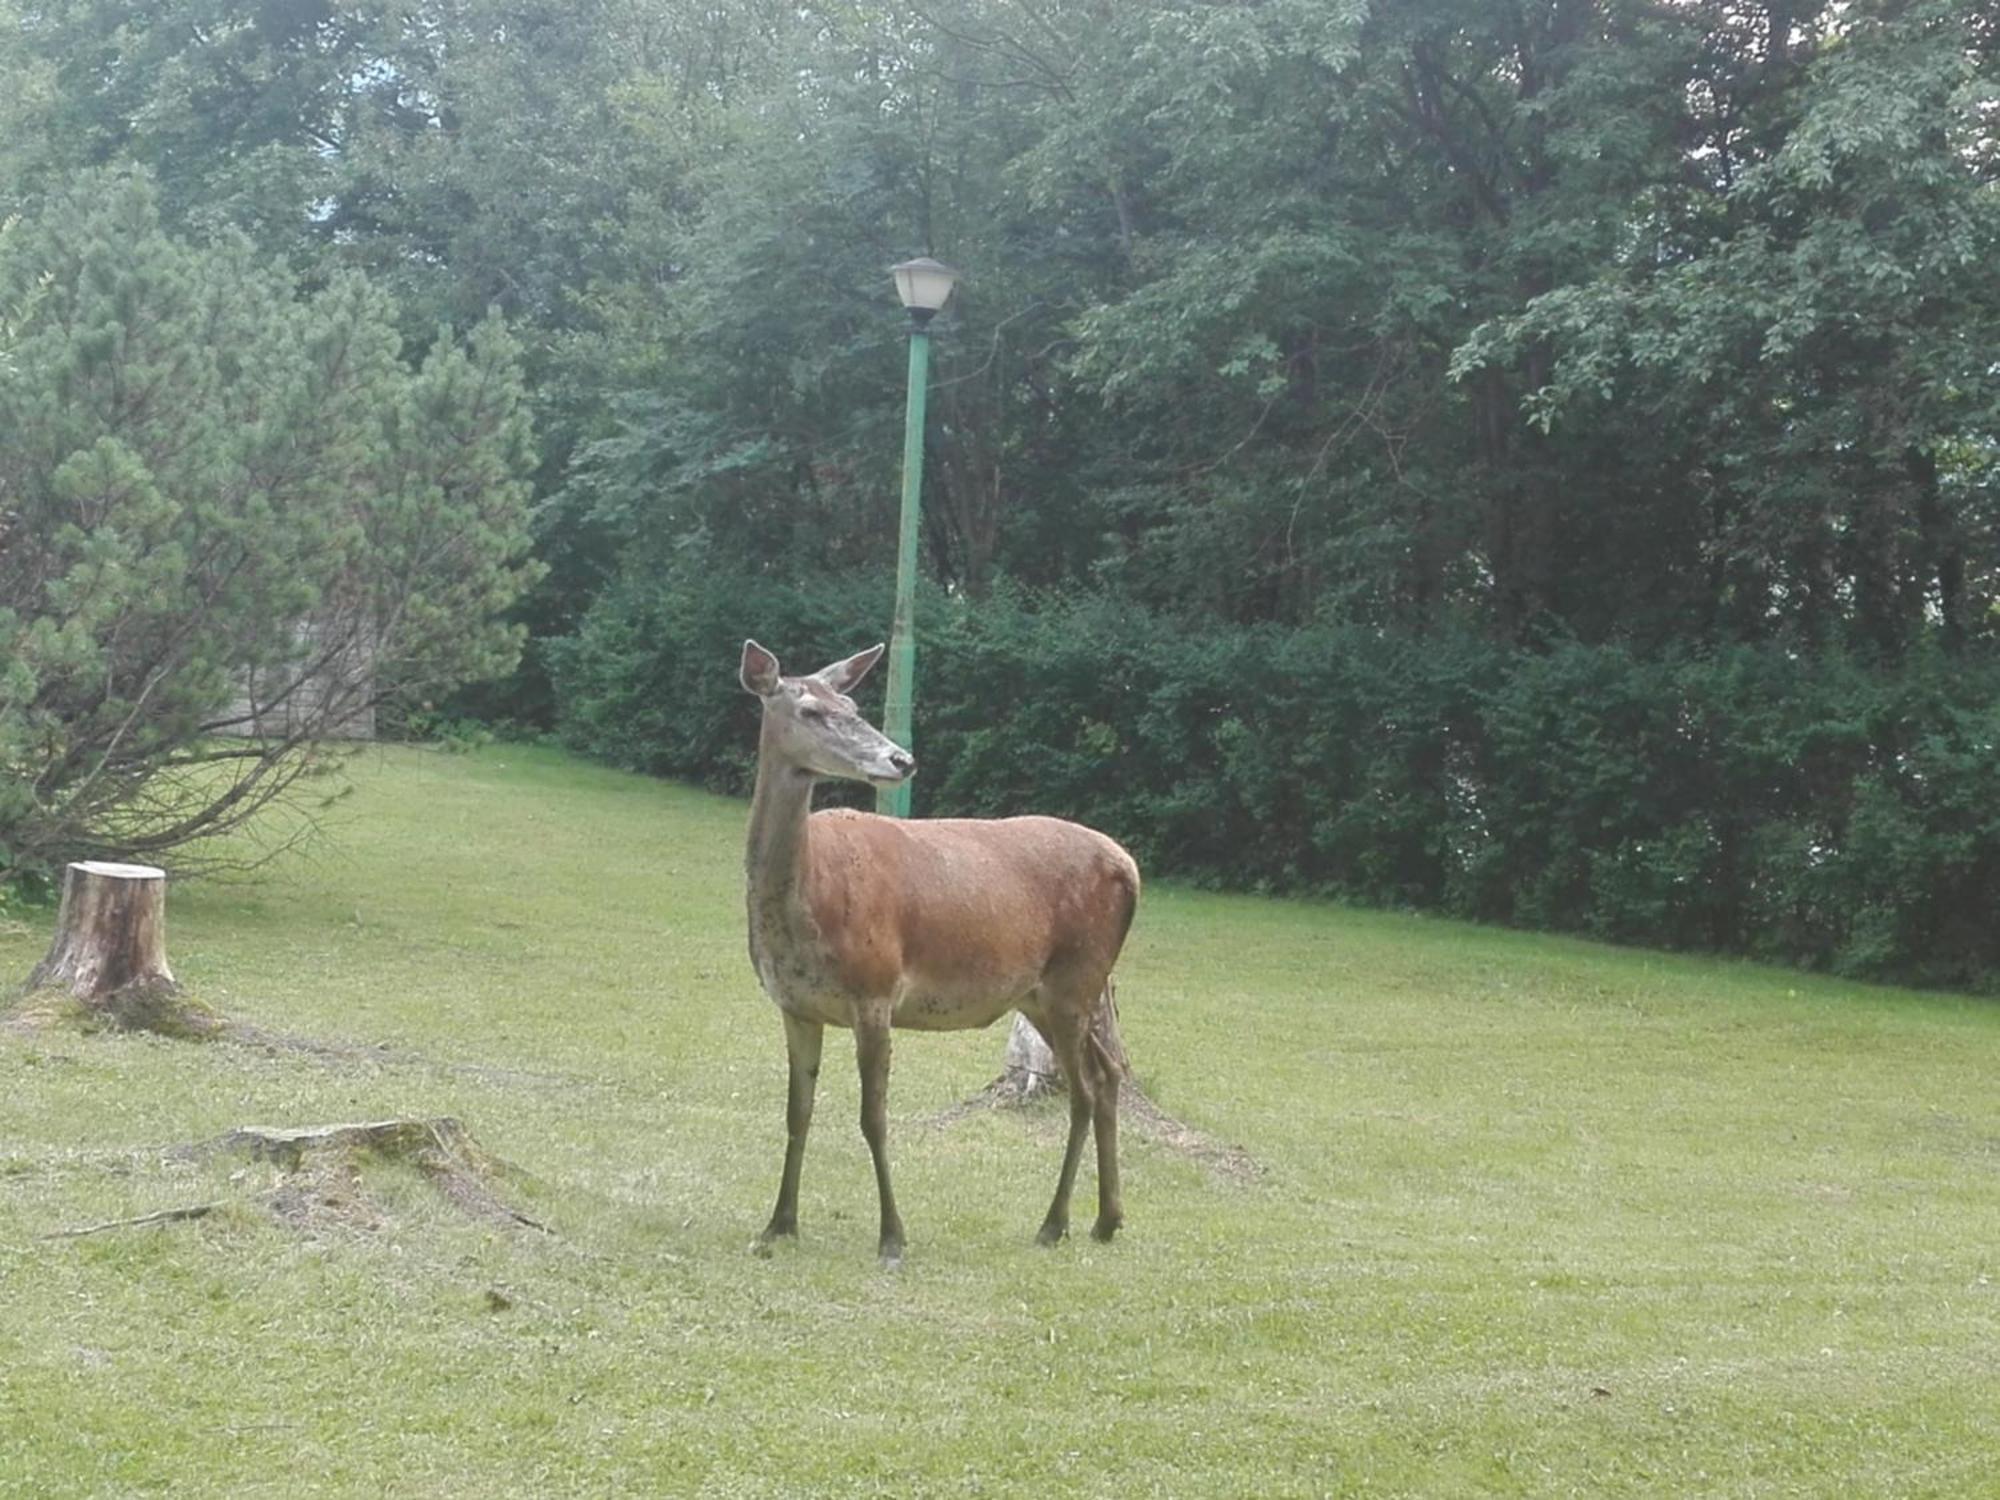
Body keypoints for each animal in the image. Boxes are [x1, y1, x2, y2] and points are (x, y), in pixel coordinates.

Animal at [740, 640, 1152, 1264]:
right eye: (810, 709)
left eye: (854, 703)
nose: (900, 760)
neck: (802, 907)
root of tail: (1130, 867)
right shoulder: (794, 1004)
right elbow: (797, 1111)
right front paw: (778, 1223)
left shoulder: (875, 990)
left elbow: (873, 1117)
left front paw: (892, 1237)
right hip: (1049, 991)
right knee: (1108, 1073)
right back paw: (1107, 1220)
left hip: (1075, 977)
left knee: (1082, 1090)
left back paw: (1054, 1223)